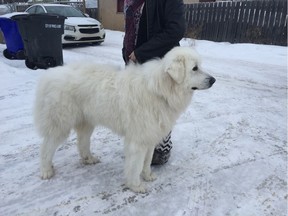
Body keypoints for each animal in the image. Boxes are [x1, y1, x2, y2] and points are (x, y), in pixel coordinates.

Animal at [34, 46, 214, 192]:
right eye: (195, 68)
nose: (213, 80)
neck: (160, 91)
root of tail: (49, 74)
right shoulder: (138, 141)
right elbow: (135, 165)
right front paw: (136, 185)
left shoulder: (150, 137)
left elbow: (147, 161)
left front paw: (147, 176)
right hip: (60, 125)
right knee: (46, 148)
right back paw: (46, 171)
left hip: (87, 122)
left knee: (82, 142)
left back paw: (88, 159)